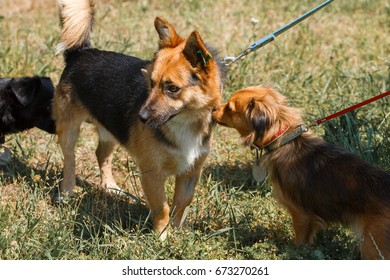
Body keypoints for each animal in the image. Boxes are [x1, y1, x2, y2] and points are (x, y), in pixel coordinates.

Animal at [55, 0, 225, 237]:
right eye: (150, 83)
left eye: (172, 88)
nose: (140, 117)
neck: (183, 123)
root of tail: (81, 52)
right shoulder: (152, 173)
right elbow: (162, 208)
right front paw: (161, 237)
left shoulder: (191, 172)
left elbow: (181, 204)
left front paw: (176, 233)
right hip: (69, 130)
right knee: (69, 160)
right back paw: (67, 190)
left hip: (110, 129)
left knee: (101, 154)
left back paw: (110, 186)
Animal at [213, 86, 390, 260]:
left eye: (229, 108)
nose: (213, 108)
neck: (282, 140)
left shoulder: (301, 216)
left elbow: (299, 243)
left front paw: (295, 253)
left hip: (372, 246)